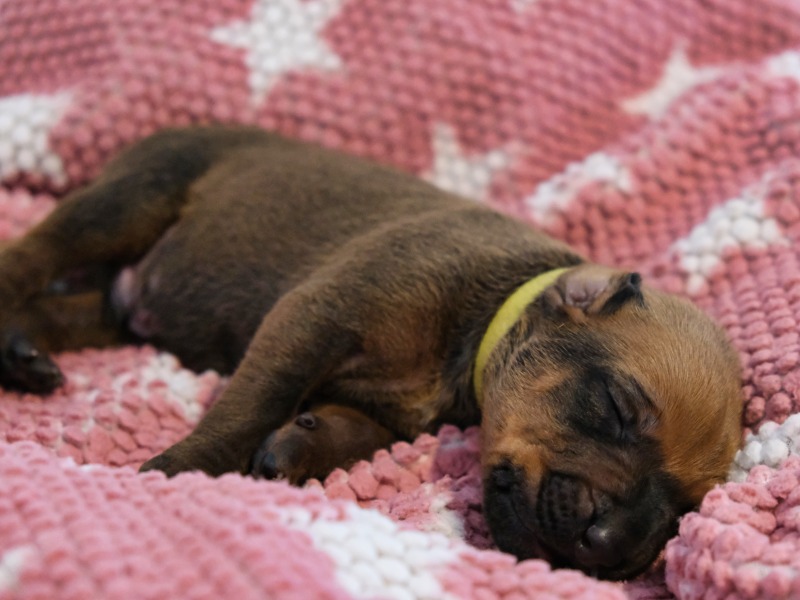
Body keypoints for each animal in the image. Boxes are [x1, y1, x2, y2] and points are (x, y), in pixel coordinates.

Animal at [0, 126, 740, 580]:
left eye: (684, 507)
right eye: (614, 408)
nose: (611, 547)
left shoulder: (386, 411)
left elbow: (344, 430)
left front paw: (297, 445)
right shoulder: (316, 315)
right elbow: (249, 405)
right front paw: (179, 472)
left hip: (109, 309)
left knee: (58, 308)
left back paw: (23, 354)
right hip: (127, 202)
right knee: (29, 258)